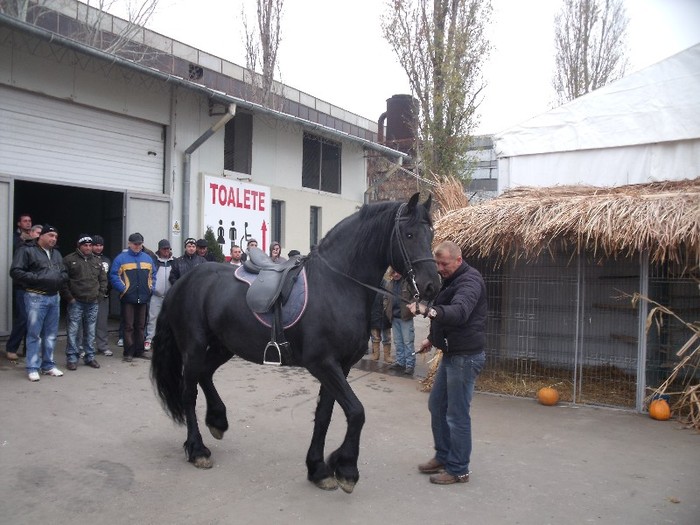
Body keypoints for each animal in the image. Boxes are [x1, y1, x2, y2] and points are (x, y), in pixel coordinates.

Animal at [151, 192, 440, 492]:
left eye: (431, 234)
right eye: (408, 234)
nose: (433, 285)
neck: (337, 284)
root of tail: (184, 280)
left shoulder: (341, 366)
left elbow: (325, 414)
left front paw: (319, 468)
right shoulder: (323, 364)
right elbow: (356, 411)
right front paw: (346, 468)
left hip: (223, 346)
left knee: (205, 375)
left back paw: (217, 420)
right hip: (194, 347)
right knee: (189, 392)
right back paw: (197, 449)